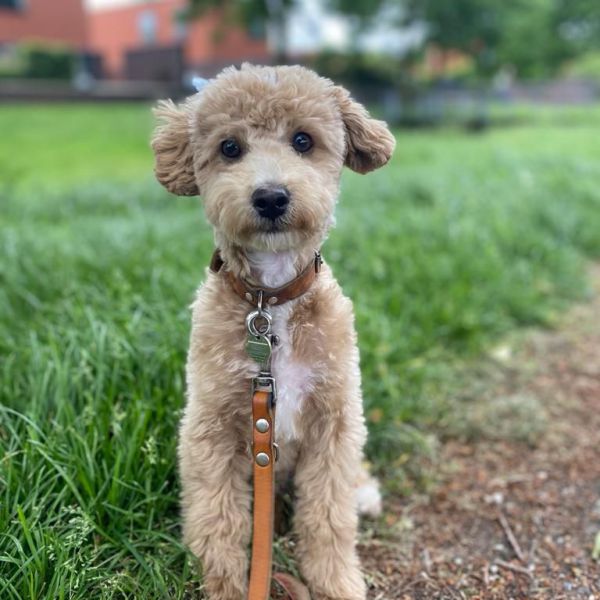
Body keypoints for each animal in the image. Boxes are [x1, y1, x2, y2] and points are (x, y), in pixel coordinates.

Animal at [151, 63, 394, 596]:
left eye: (303, 140)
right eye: (229, 148)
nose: (270, 196)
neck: (269, 303)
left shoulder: (334, 419)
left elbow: (327, 516)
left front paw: (335, 582)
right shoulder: (212, 427)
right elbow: (217, 519)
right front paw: (224, 585)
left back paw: (365, 495)